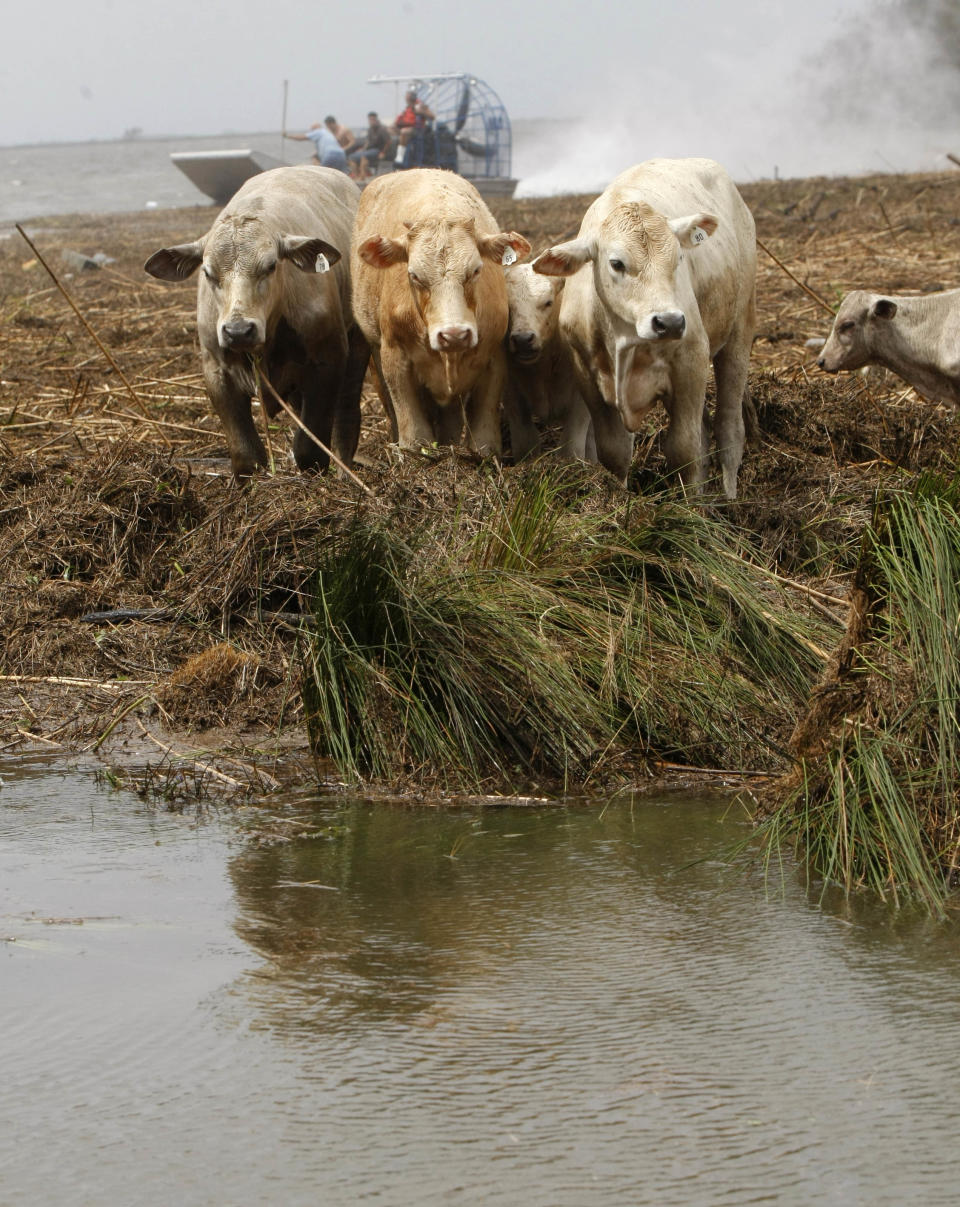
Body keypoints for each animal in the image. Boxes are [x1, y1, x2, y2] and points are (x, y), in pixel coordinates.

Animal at [146, 165, 367, 475]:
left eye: (271, 265)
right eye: (208, 272)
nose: (238, 331)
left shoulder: (327, 361)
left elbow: (310, 449)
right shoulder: (217, 371)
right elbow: (246, 455)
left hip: (358, 346)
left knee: (347, 415)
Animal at [350, 167, 533, 453]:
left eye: (476, 270)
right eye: (414, 275)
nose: (454, 335)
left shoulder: (494, 355)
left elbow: (484, 427)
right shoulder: (394, 356)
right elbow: (412, 428)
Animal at [502, 264, 594, 461]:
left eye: (548, 302)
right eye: (509, 306)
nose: (522, 339)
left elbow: (571, 446)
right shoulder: (510, 388)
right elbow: (525, 441)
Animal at [533, 155, 758, 494]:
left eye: (679, 259)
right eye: (616, 263)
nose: (670, 322)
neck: (626, 340)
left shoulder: (691, 362)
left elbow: (684, 450)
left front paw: (692, 507)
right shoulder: (588, 377)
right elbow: (615, 451)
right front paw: (618, 498)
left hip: (739, 333)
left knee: (729, 429)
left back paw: (729, 497)